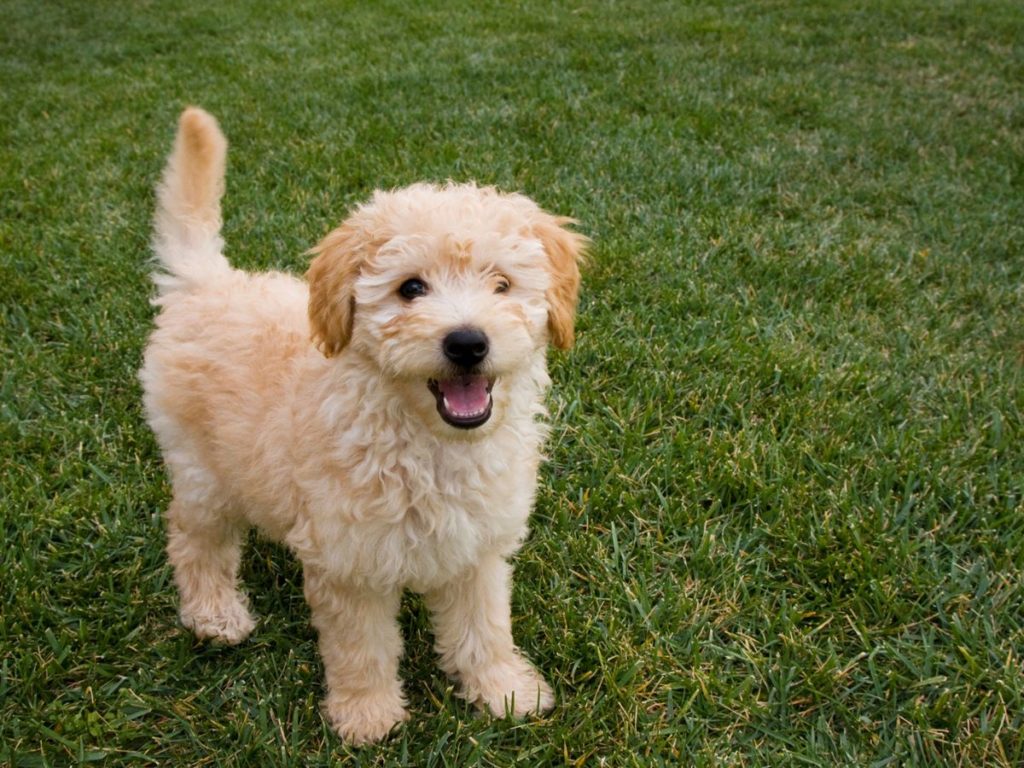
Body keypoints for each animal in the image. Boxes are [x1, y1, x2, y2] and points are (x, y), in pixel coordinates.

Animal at [139, 107, 586, 745]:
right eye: (411, 288)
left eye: (502, 284)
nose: (468, 342)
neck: (427, 443)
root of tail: (207, 283)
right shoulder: (351, 565)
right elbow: (362, 648)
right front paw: (368, 715)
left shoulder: (476, 547)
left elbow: (485, 627)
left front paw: (504, 691)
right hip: (203, 471)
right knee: (192, 539)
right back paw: (215, 614)